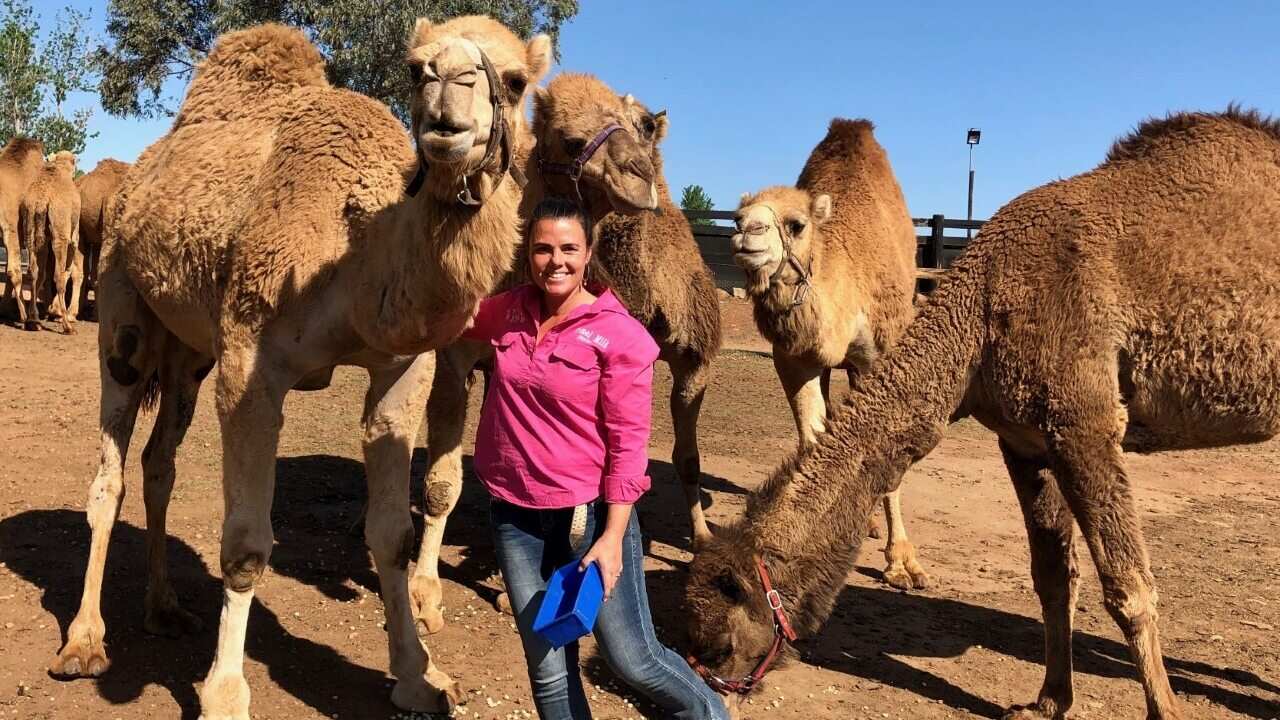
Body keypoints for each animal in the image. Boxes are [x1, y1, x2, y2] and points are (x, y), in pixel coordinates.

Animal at [18, 151, 81, 333]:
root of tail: (42, 200)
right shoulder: (73, 235)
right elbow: (68, 269)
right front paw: (58, 313)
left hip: (30, 227)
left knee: (33, 273)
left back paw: (33, 322)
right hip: (59, 230)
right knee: (58, 275)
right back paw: (67, 326)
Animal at [730, 119, 928, 591]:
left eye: (796, 224)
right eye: (737, 216)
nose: (747, 232)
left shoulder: (881, 354)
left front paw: (902, 563)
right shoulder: (795, 357)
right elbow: (813, 437)